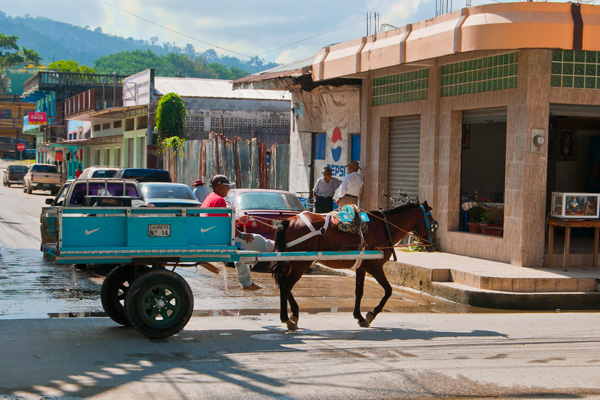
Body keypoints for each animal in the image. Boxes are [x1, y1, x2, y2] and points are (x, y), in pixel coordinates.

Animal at [268, 202, 436, 330]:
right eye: (433, 223)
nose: (433, 245)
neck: (383, 227)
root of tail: (289, 221)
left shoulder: (361, 267)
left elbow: (359, 292)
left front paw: (359, 316)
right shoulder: (375, 267)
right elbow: (388, 290)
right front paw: (371, 314)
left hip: (292, 262)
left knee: (284, 285)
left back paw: (294, 313)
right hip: (301, 264)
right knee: (286, 286)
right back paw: (287, 318)